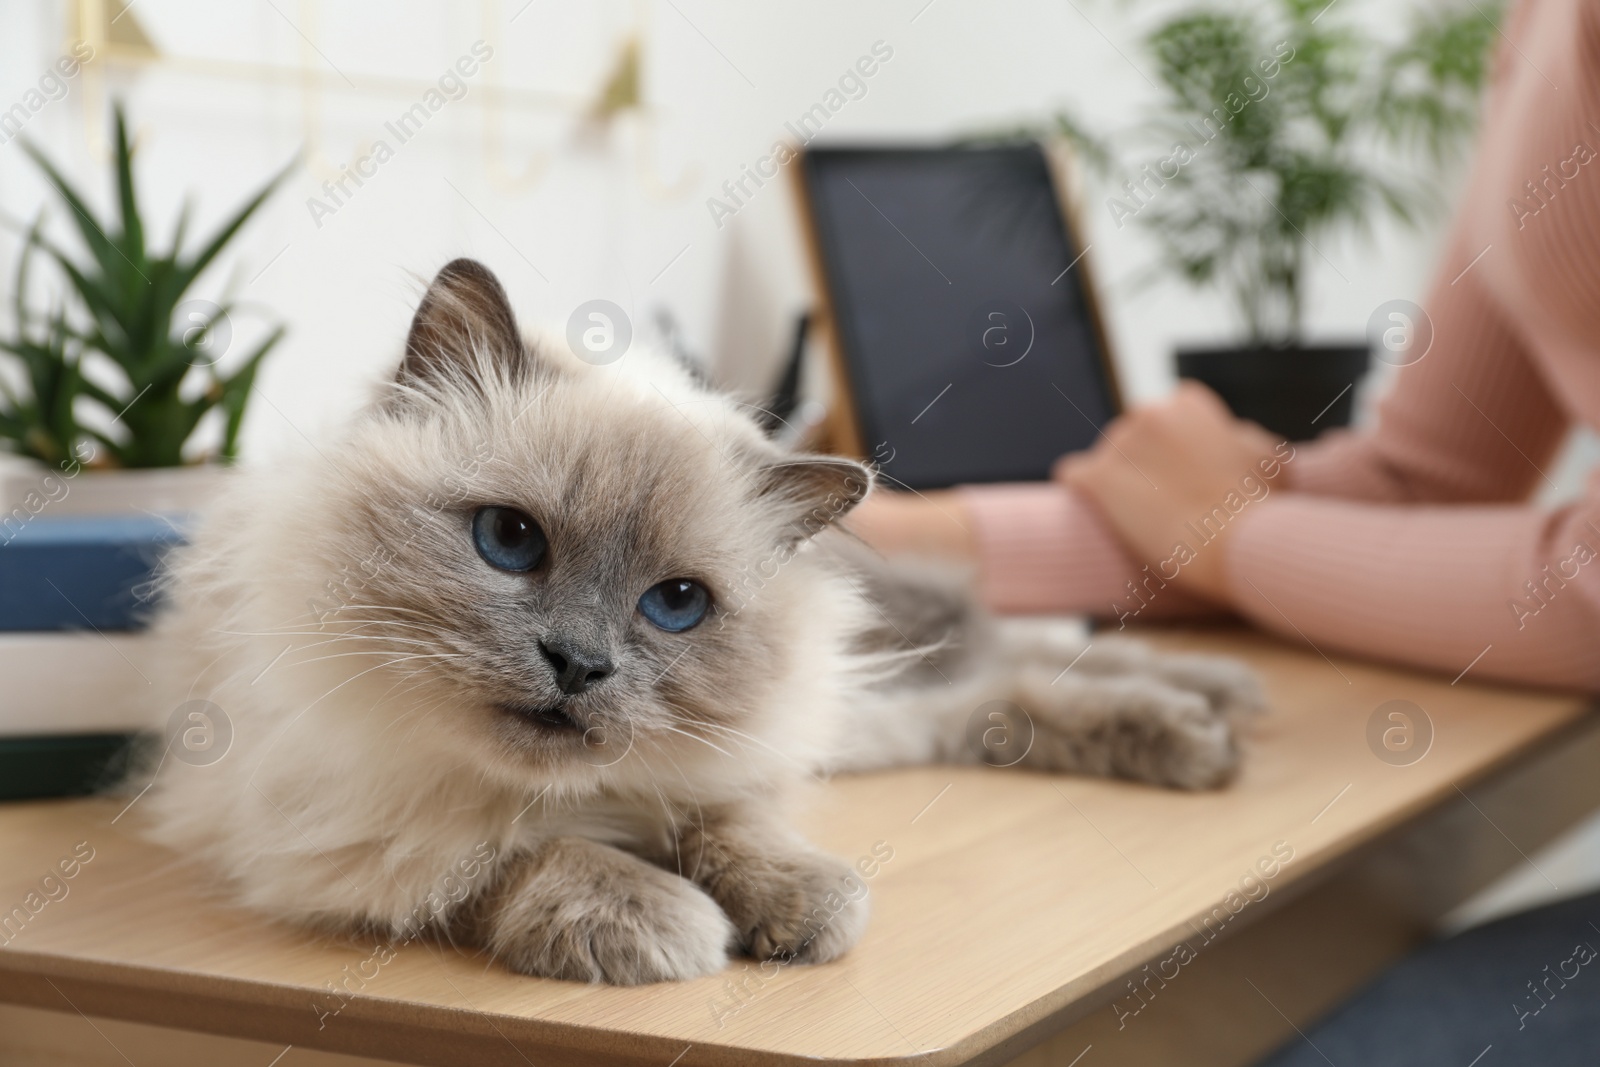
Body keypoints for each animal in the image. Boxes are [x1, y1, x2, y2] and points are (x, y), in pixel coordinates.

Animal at [140, 255, 1260, 985]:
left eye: (675, 604)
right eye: (509, 540)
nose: (577, 662)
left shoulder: (726, 767)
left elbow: (730, 824)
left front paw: (798, 906)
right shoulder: (343, 828)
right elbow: (514, 850)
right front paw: (662, 923)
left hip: (846, 715)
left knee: (1012, 670)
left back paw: (1218, 717)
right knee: (999, 692)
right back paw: (1210, 728)